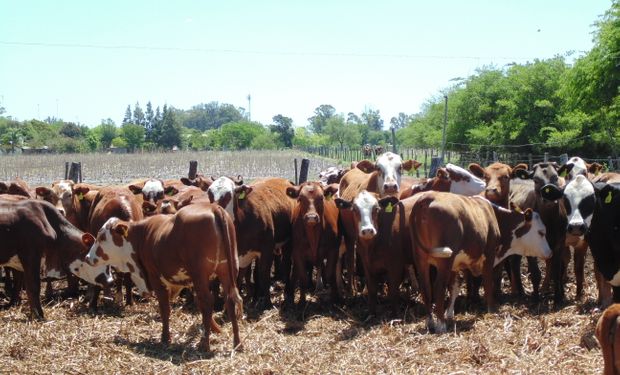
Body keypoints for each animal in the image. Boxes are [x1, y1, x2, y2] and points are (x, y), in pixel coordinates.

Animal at [81, 203, 245, 352]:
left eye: (102, 237)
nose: (88, 257)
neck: (141, 237)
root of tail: (214, 208)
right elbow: (197, 304)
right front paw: (216, 329)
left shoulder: (155, 277)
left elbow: (165, 308)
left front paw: (165, 338)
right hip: (227, 271)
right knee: (230, 301)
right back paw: (237, 343)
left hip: (200, 274)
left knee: (208, 301)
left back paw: (204, 344)